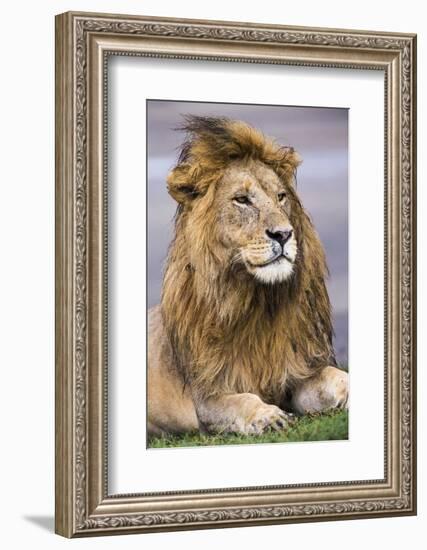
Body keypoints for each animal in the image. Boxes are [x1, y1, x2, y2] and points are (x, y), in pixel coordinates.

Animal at [149, 116, 350, 440]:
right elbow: (242, 401)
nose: (283, 234)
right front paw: (269, 416)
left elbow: (335, 377)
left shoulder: (295, 372)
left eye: (281, 197)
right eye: (242, 200)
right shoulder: (208, 397)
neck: (257, 302)